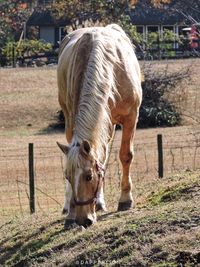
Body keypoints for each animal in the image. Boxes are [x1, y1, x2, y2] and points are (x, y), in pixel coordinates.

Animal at [56, 24, 142, 228]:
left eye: (89, 176)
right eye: (67, 176)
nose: (82, 220)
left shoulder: (131, 117)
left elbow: (125, 155)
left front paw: (125, 199)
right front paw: (70, 213)